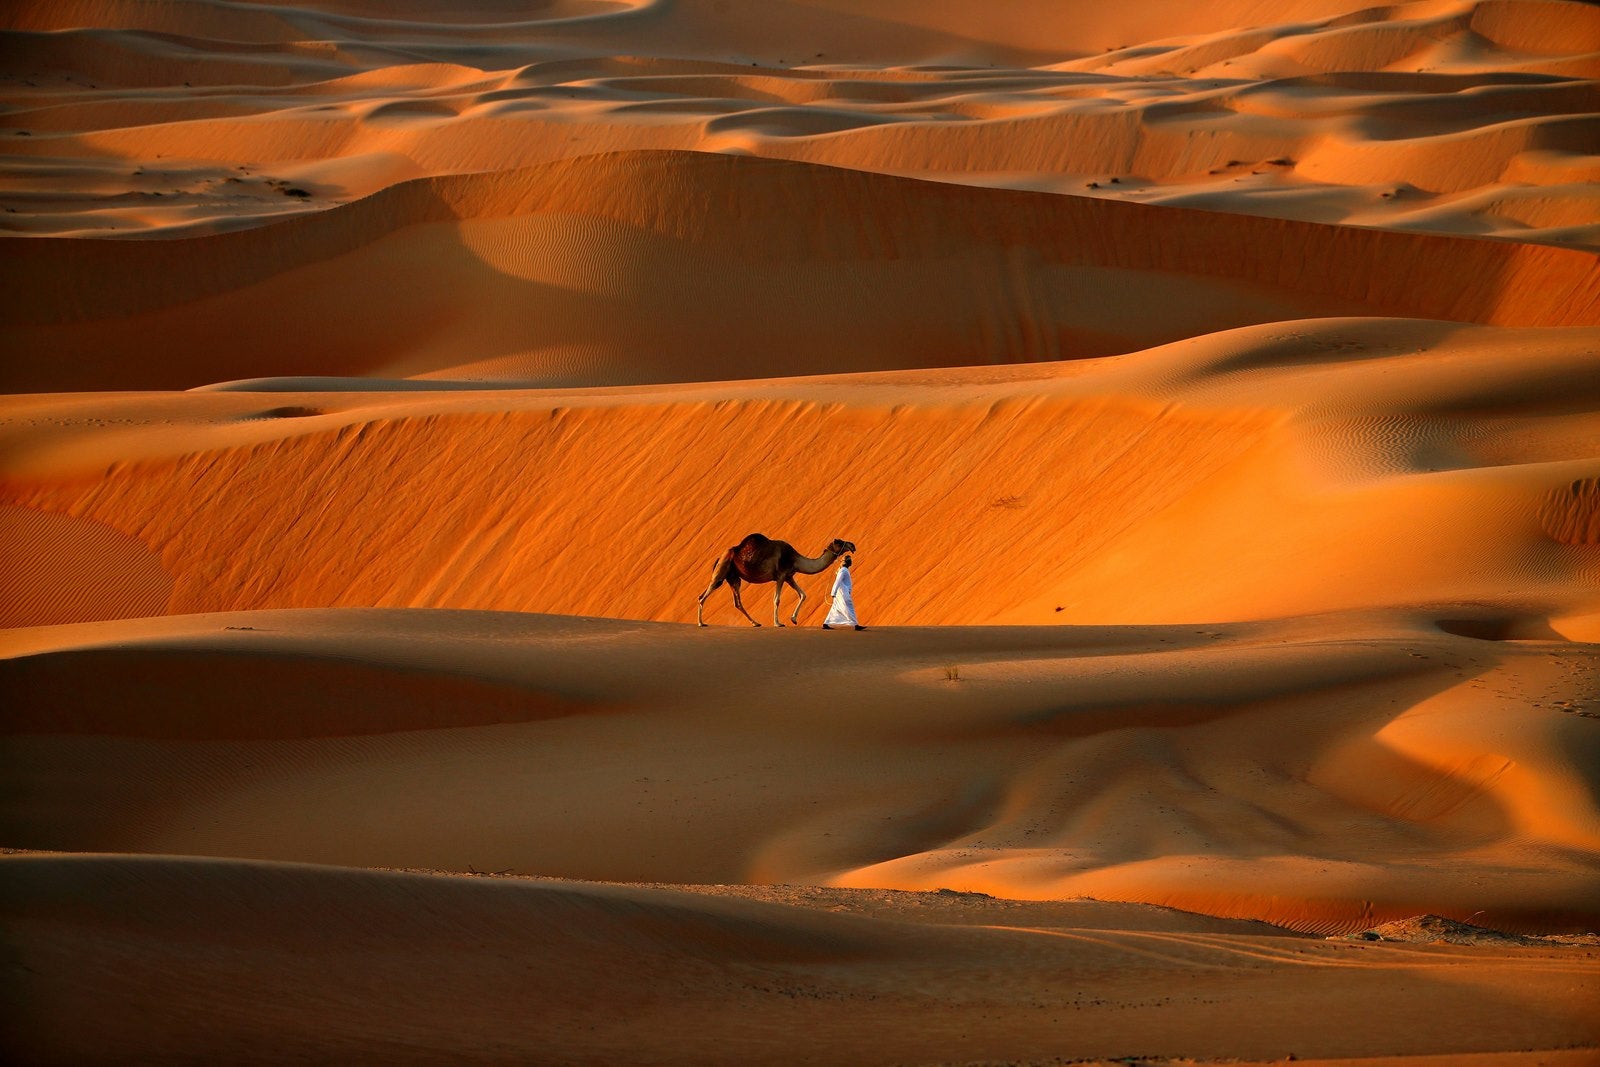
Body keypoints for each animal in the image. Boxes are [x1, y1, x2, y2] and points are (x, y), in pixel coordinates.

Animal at [697, 533, 856, 627]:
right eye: (840, 541)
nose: (853, 545)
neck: (795, 559)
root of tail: (721, 556)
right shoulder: (780, 575)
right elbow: (777, 599)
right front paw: (778, 623)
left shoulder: (789, 576)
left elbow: (803, 594)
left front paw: (793, 619)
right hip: (722, 570)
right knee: (703, 596)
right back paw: (700, 623)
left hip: (733, 577)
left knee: (737, 602)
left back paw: (755, 623)